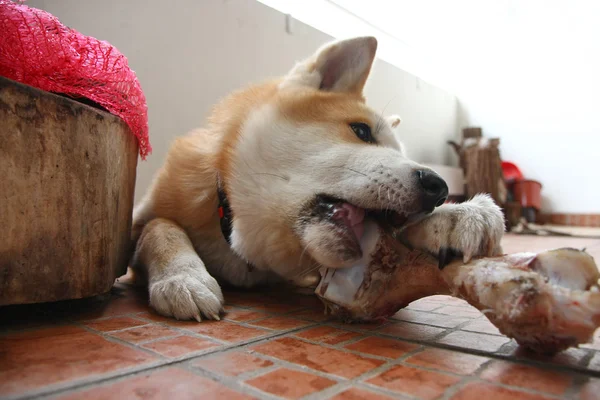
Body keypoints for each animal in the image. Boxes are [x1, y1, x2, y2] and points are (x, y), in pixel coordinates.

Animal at [131, 35, 506, 322]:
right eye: (361, 131)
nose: (438, 188)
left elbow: (398, 232)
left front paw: (457, 216)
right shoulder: (141, 219)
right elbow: (161, 228)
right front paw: (183, 277)